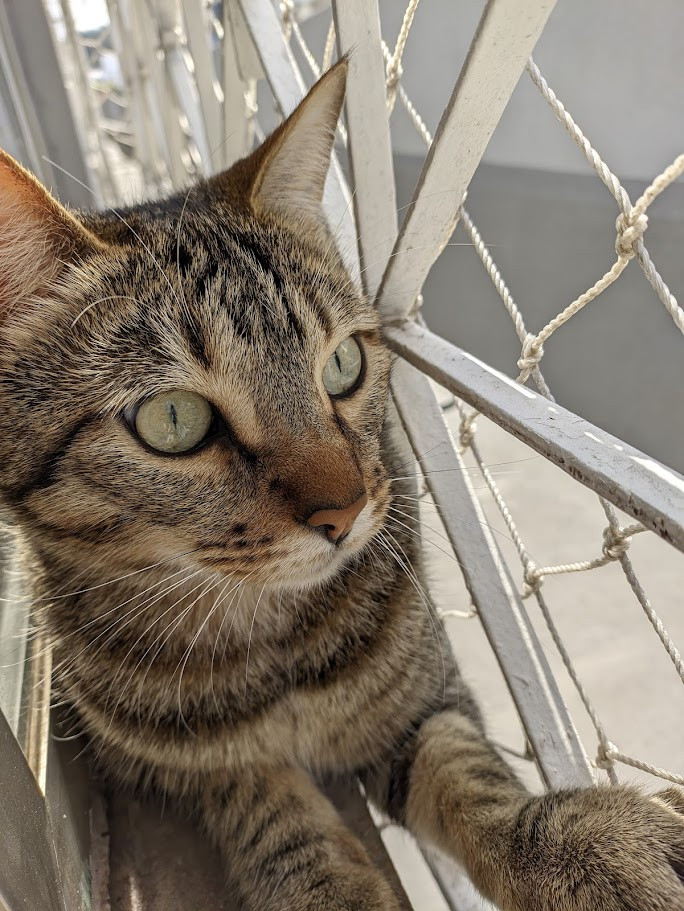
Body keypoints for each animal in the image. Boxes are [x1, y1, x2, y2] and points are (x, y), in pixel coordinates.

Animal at [1, 60, 684, 908]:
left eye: (343, 365)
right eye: (172, 419)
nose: (347, 510)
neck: (267, 646)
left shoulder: (425, 703)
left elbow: (471, 779)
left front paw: (592, 849)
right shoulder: (178, 766)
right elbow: (270, 809)